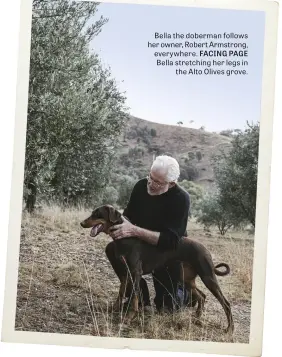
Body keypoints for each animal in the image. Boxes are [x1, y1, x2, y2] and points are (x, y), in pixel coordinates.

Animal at [80, 204, 235, 332]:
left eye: (97, 214)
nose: (81, 223)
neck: (124, 239)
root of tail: (205, 249)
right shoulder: (125, 274)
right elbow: (121, 293)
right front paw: (115, 309)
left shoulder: (136, 272)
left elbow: (134, 295)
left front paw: (129, 317)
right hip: (185, 277)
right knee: (202, 296)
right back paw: (197, 318)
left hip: (208, 277)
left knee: (225, 303)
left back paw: (229, 329)